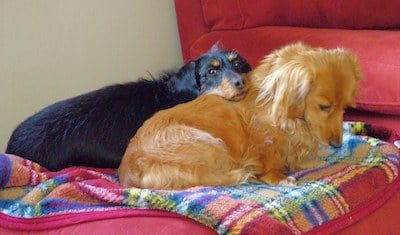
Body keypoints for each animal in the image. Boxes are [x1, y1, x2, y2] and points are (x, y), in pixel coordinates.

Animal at [118, 42, 362, 189]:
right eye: (323, 106)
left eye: (346, 108)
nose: (337, 144)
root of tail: (128, 175)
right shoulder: (263, 145)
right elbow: (270, 162)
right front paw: (281, 177)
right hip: (209, 144)